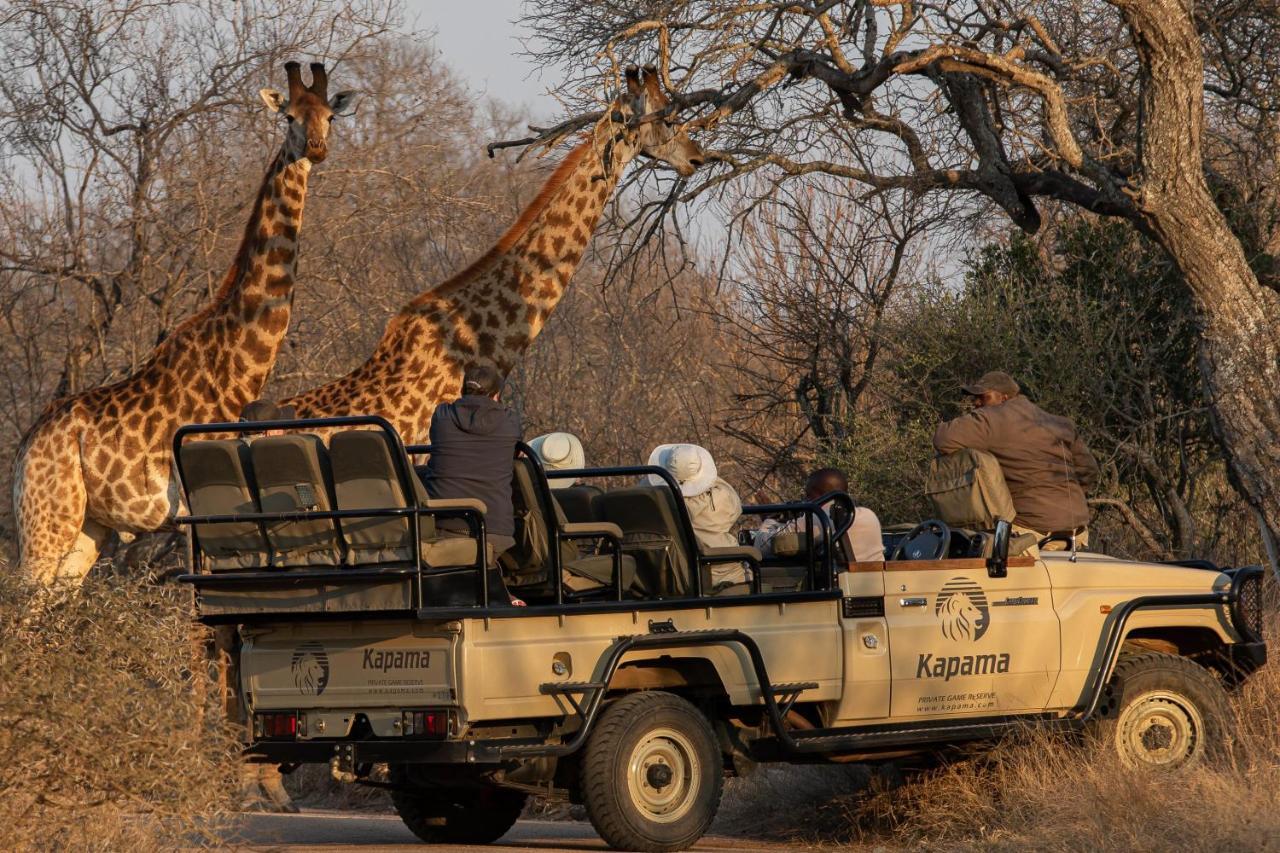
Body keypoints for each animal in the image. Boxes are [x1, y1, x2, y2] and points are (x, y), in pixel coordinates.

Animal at [12, 61, 358, 584]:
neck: (239, 366)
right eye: (290, 117)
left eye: (330, 117)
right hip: (47, 520)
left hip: (88, 529)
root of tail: (25, 447)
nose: (316, 148)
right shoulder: (207, 508)